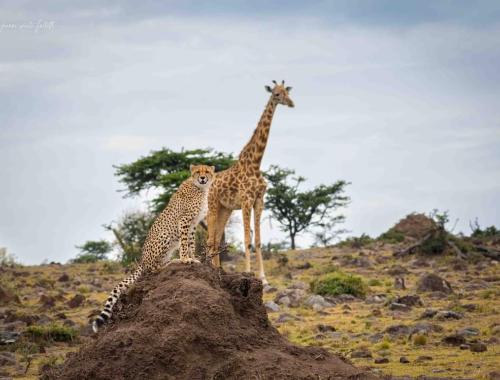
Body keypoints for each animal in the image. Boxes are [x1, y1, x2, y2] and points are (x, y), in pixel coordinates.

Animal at [93, 165, 214, 332]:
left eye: (207, 172)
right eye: (197, 172)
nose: (203, 178)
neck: (200, 189)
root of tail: (142, 260)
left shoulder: (194, 224)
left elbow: (190, 243)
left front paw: (194, 258)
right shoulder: (184, 221)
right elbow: (184, 243)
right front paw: (185, 259)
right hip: (164, 237)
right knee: (153, 268)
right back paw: (172, 262)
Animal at [206, 80, 294, 284]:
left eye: (287, 92)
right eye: (276, 94)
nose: (291, 103)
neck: (255, 162)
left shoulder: (259, 201)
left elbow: (258, 241)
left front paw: (263, 278)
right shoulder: (246, 200)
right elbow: (247, 239)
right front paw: (247, 273)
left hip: (225, 209)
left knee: (216, 239)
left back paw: (219, 271)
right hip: (213, 206)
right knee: (210, 240)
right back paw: (213, 271)